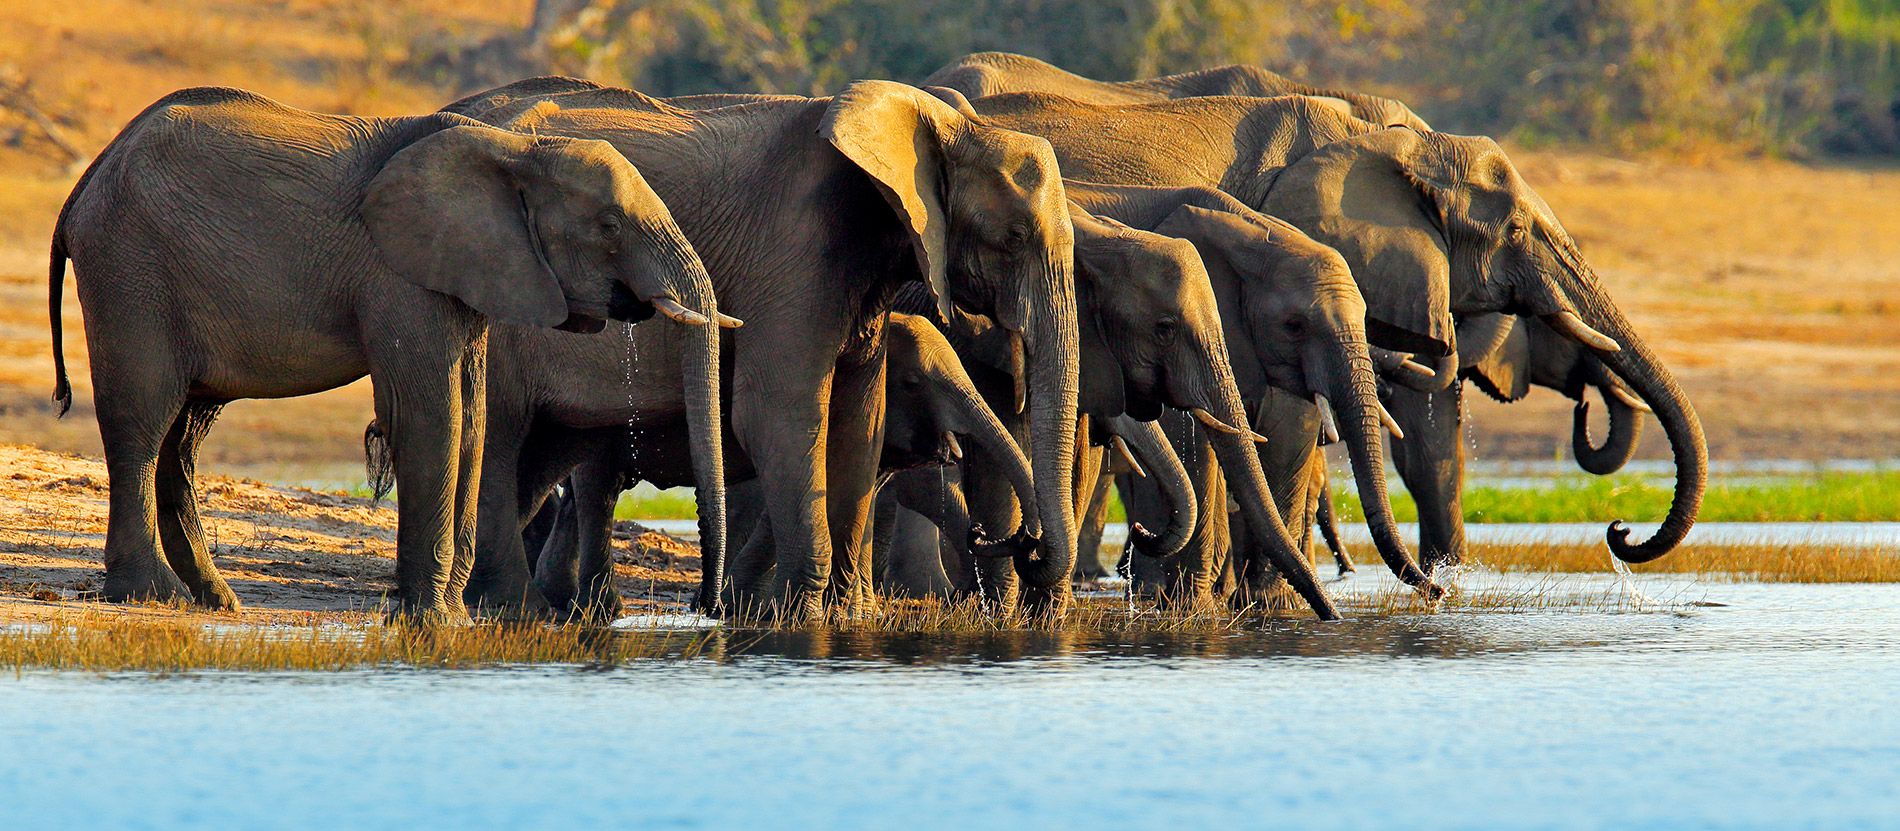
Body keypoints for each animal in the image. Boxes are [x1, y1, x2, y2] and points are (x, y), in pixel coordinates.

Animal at [47, 87, 723, 622]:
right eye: (609, 225)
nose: (708, 608)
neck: (516, 151)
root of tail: (87, 179)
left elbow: (471, 418)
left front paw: (448, 615)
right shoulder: (400, 274)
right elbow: (431, 417)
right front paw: (434, 620)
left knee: (182, 436)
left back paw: (218, 602)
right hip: (129, 270)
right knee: (142, 419)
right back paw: (150, 596)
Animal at [441, 77, 1086, 619]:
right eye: (1015, 236)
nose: (1018, 543)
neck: (942, 126)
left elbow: (858, 422)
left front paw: (846, 618)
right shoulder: (793, 257)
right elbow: (782, 415)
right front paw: (797, 618)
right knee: (504, 444)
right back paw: (517, 610)